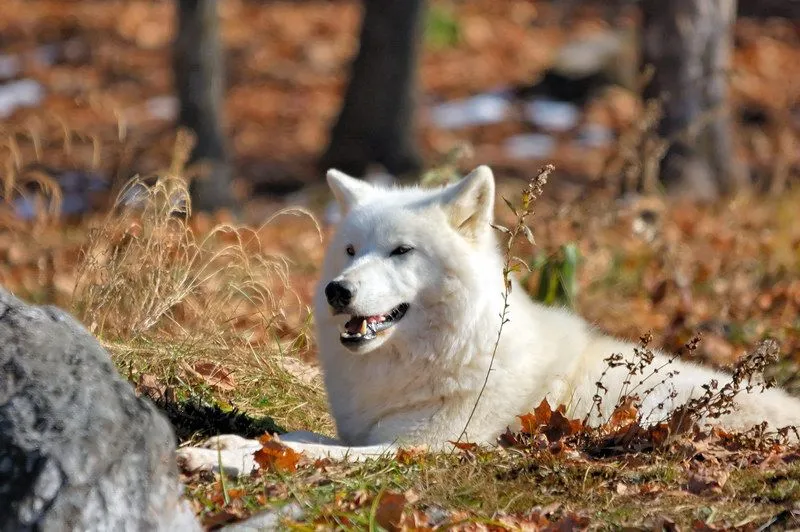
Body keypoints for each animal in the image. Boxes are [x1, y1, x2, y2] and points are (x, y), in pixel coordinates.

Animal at [178, 165, 800, 474]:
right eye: (352, 251)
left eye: (401, 251)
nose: (338, 291)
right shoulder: (371, 428)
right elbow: (290, 436)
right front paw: (222, 442)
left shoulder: (427, 446)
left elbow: (309, 452)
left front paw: (220, 457)